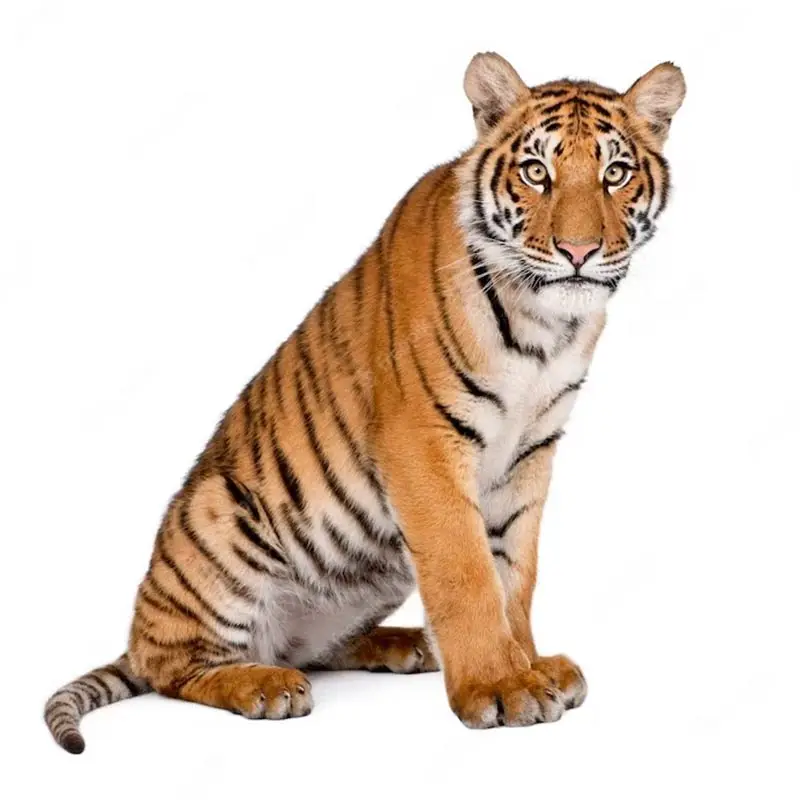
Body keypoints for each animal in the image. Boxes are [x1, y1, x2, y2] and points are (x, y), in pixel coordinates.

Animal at [45, 52, 685, 752]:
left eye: (615, 173)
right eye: (536, 172)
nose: (578, 252)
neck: (546, 324)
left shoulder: (530, 450)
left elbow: (515, 573)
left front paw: (532, 664)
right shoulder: (424, 443)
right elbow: (466, 573)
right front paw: (500, 687)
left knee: (314, 649)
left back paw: (406, 646)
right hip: (217, 517)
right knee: (175, 666)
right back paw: (263, 685)